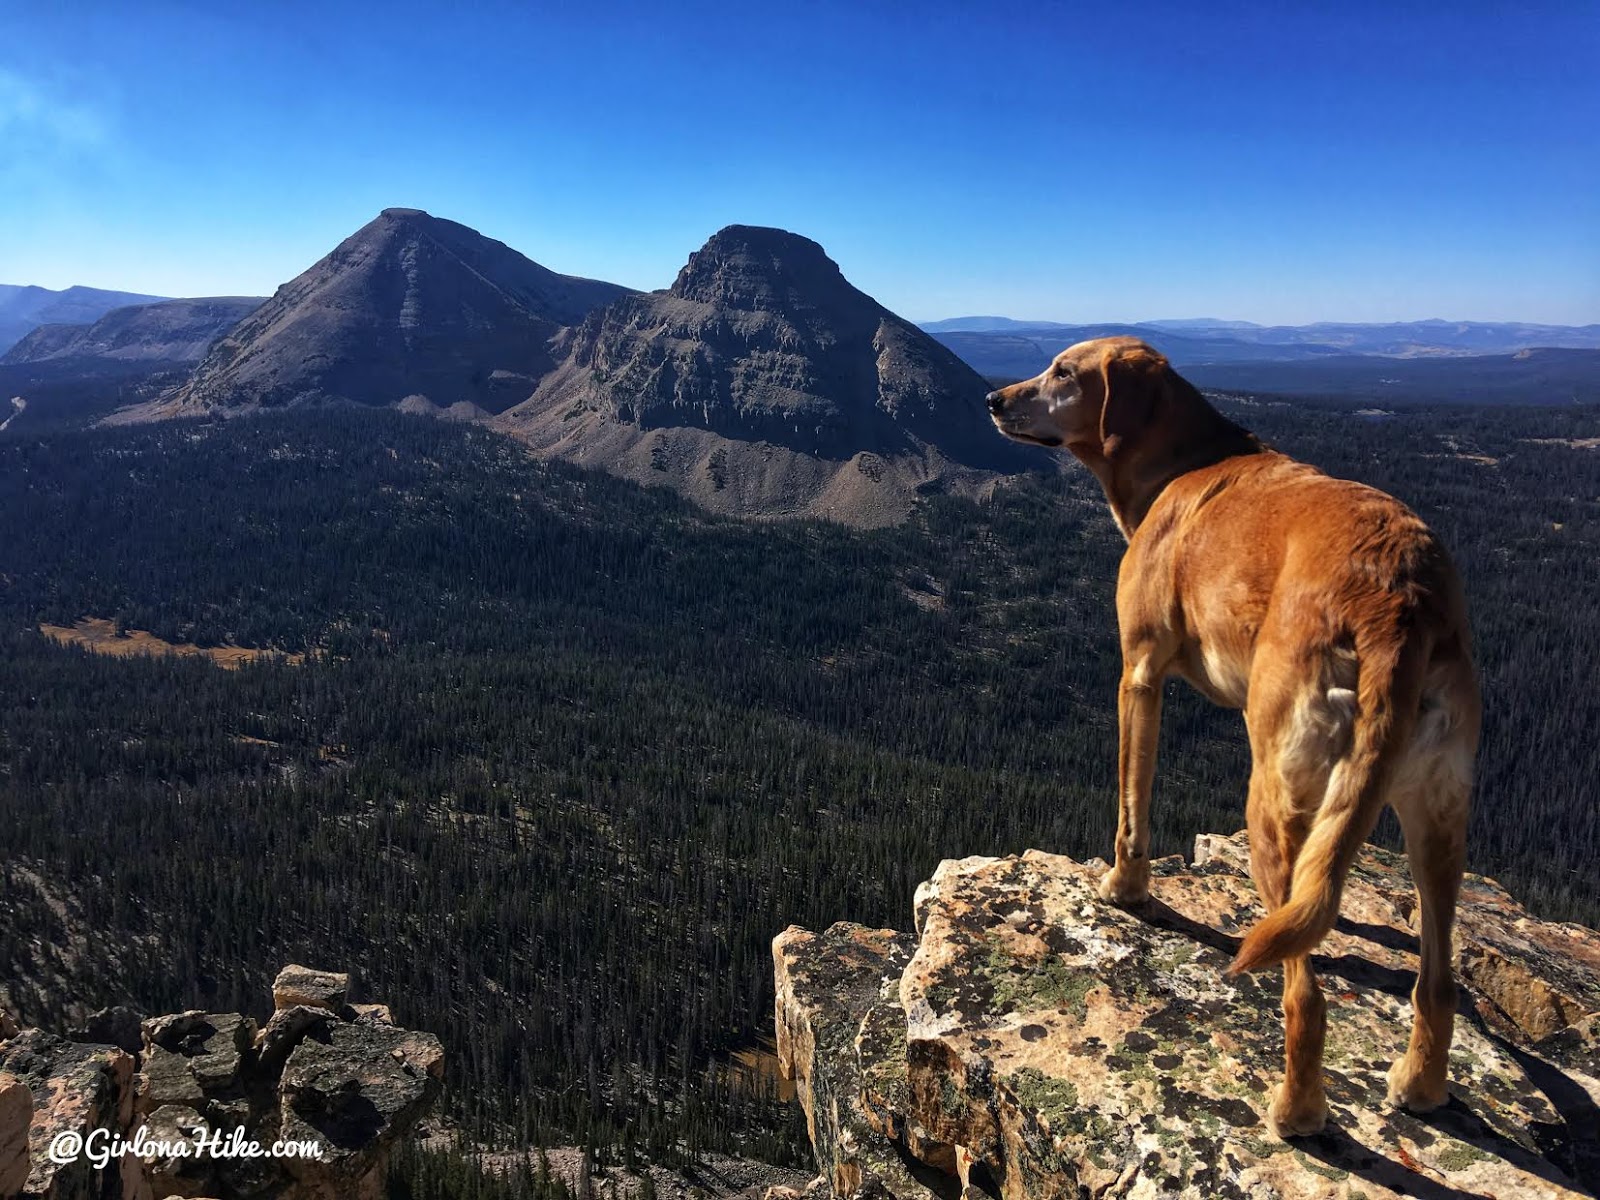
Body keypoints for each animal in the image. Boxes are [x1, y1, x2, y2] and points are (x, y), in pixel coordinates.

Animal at [979, 336, 1478, 1139]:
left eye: (1064, 372)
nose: (993, 400)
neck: (1183, 460)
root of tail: (1397, 603)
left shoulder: (1139, 674)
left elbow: (1132, 804)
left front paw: (1124, 889)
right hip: (1438, 816)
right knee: (1432, 978)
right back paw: (1420, 1085)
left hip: (1274, 792)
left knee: (1304, 989)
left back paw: (1296, 1112)